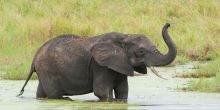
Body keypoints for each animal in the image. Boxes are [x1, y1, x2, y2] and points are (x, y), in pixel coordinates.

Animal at [17, 23, 176, 101]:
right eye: (141, 52)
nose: (168, 24)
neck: (124, 37)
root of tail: (34, 57)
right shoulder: (99, 65)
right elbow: (102, 92)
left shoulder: (120, 63)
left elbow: (123, 91)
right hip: (48, 70)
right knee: (54, 94)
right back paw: (67, 99)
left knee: (42, 93)